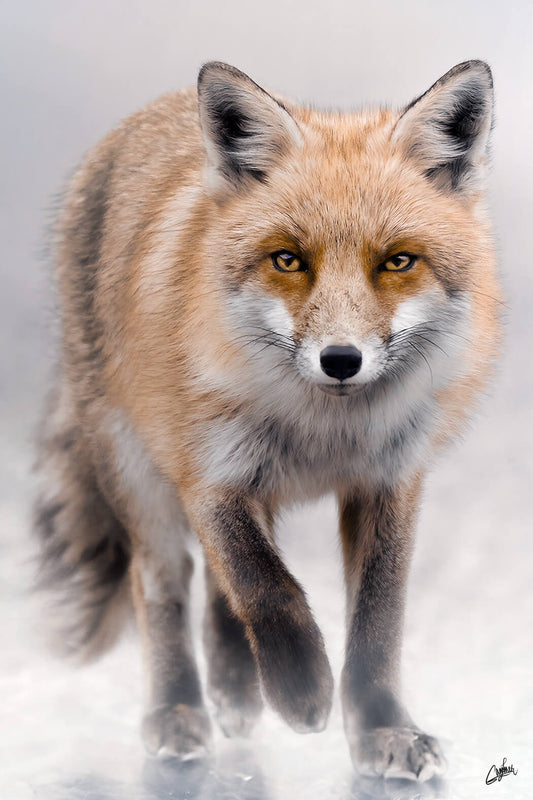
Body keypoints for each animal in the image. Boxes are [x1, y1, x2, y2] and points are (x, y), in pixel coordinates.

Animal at [34, 59, 501, 781]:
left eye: (397, 261)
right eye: (288, 259)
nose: (341, 360)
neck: (324, 433)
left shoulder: (391, 479)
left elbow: (376, 620)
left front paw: (382, 729)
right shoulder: (206, 473)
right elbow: (265, 585)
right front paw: (301, 689)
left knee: (219, 588)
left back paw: (233, 685)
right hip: (134, 468)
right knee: (165, 581)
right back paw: (179, 707)